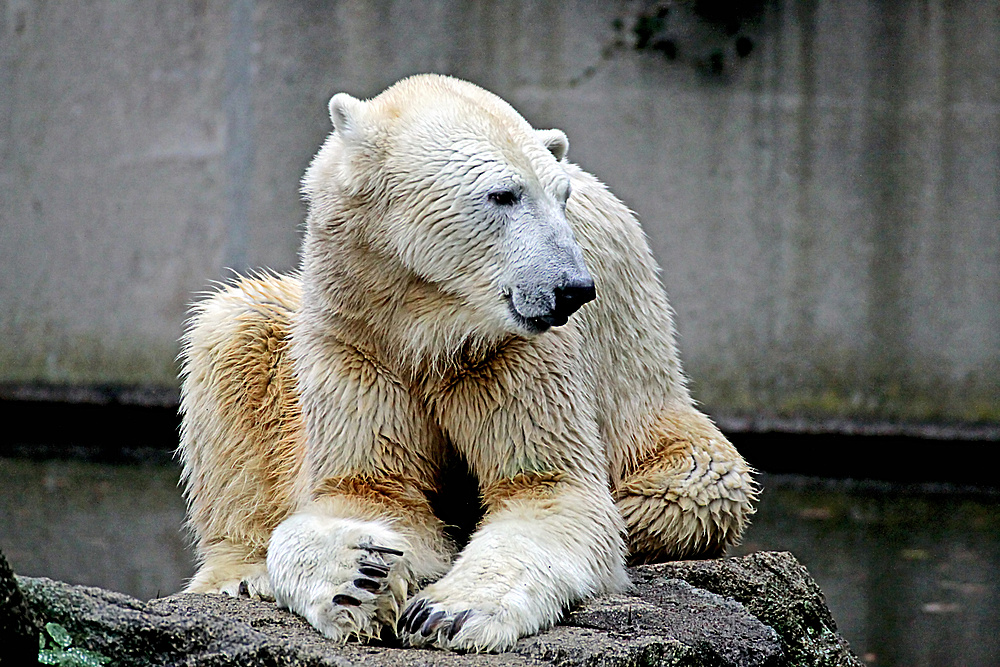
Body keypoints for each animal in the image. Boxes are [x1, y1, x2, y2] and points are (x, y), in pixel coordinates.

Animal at [176, 73, 752, 652]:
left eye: (562, 196)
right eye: (503, 194)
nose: (573, 289)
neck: (429, 321)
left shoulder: (509, 352)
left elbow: (547, 490)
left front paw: (446, 612)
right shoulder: (357, 339)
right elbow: (369, 490)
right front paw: (360, 579)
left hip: (657, 416)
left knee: (691, 489)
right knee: (232, 327)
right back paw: (241, 574)